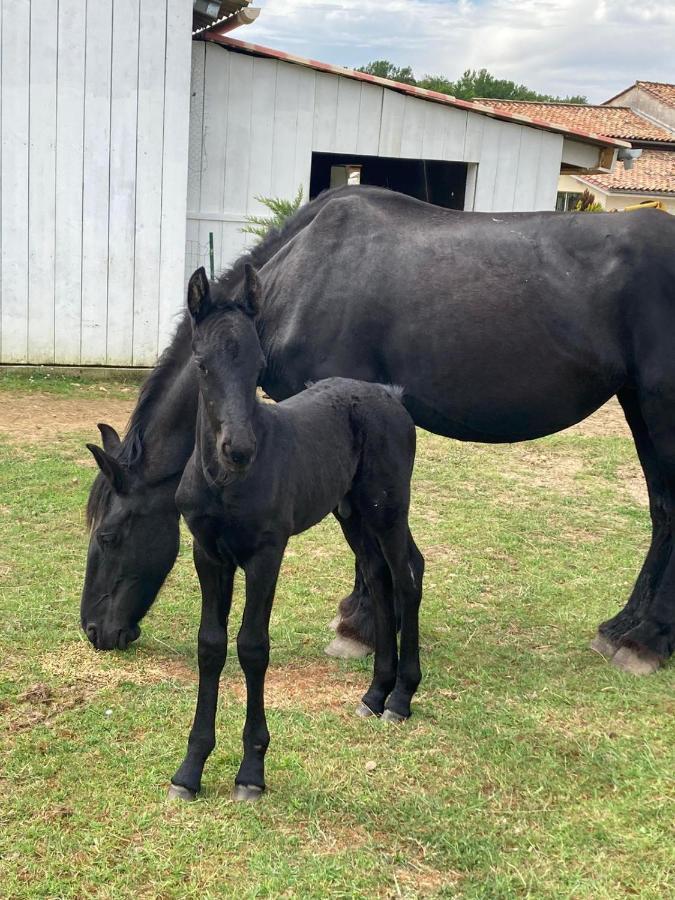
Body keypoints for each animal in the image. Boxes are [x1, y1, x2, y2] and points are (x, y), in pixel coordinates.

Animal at [168, 268, 422, 800]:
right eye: (202, 364)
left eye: (259, 364)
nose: (240, 450)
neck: (224, 484)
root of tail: (389, 395)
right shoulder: (209, 554)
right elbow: (210, 646)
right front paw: (190, 769)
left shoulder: (266, 554)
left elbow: (252, 647)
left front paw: (251, 771)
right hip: (352, 516)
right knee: (380, 582)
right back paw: (374, 693)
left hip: (387, 511)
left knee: (405, 579)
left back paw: (401, 697)